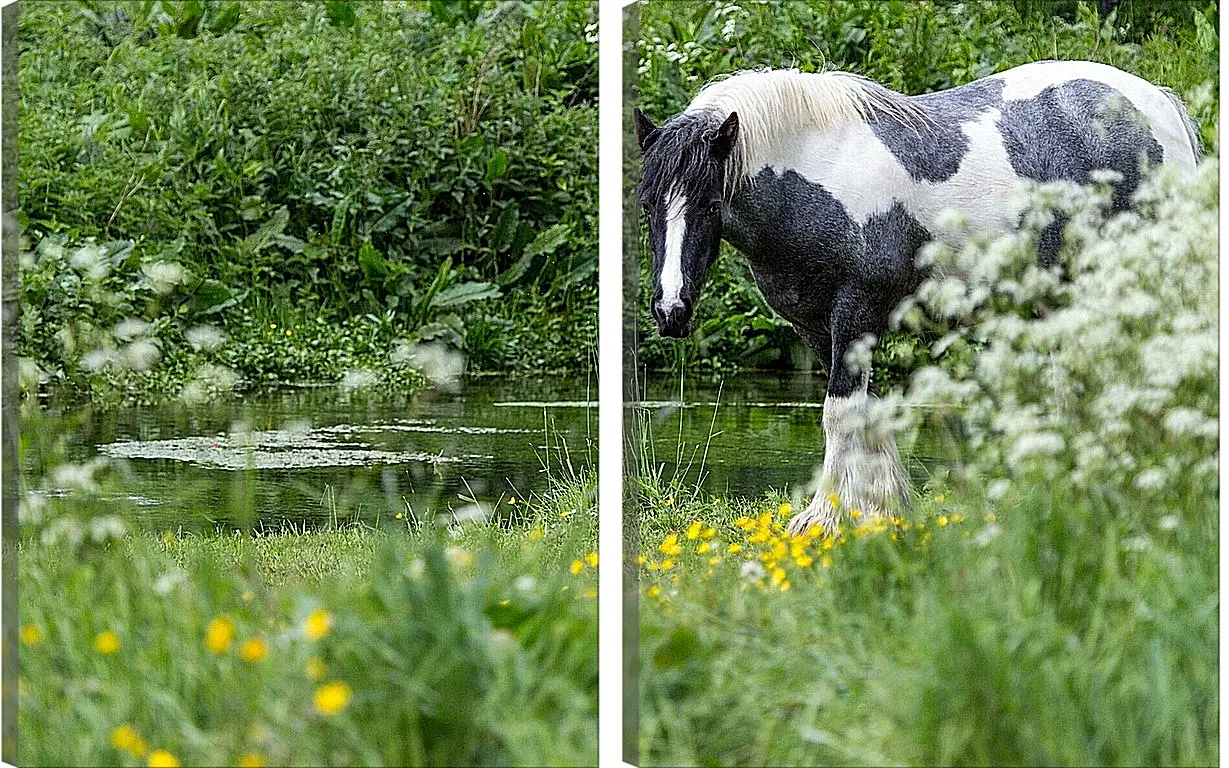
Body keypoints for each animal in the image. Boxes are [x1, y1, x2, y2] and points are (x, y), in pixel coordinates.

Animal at [634, 59, 1199, 533]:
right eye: (647, 205)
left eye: (710, 204)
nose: (670, 311)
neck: (820, 173)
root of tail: (1160, 105)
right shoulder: (817, 329)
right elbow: (867, 414)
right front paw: (884, 510)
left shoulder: (856, 313)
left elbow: (839, 415)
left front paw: (825, 520)